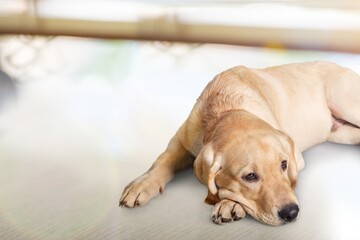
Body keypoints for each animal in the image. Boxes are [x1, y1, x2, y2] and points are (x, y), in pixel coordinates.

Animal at [119, 61, 360, 226]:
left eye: (283, 165)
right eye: (249, 176)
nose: (291, 213)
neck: (227, 109)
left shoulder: (295, 156)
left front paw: (230, 203)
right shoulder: (181, 139)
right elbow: (163, 160)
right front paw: (142, 184)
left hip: (344, 102)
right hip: (340, 132)